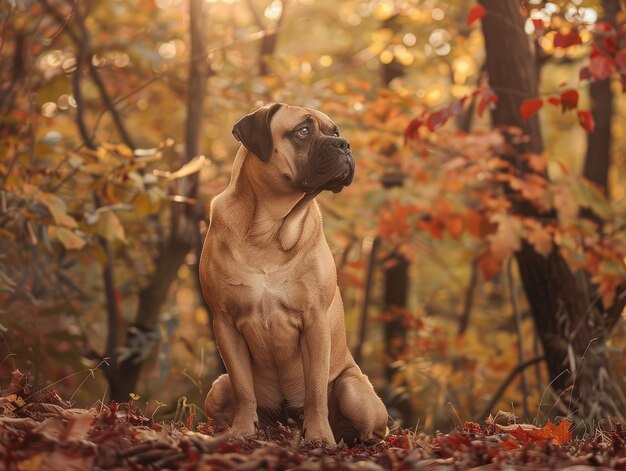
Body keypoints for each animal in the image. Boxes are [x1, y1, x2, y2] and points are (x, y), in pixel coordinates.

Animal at [199, 103, 386, 446]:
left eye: (335, 132)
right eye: (303, 131)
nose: (345, 145)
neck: (268, 229)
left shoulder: (314, 321)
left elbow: (315, 391)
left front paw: (320, 436)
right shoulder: (225, 321)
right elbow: (244, 389)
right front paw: (242, 432)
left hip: (353, 389)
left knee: (370, 428)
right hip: (218, 388)